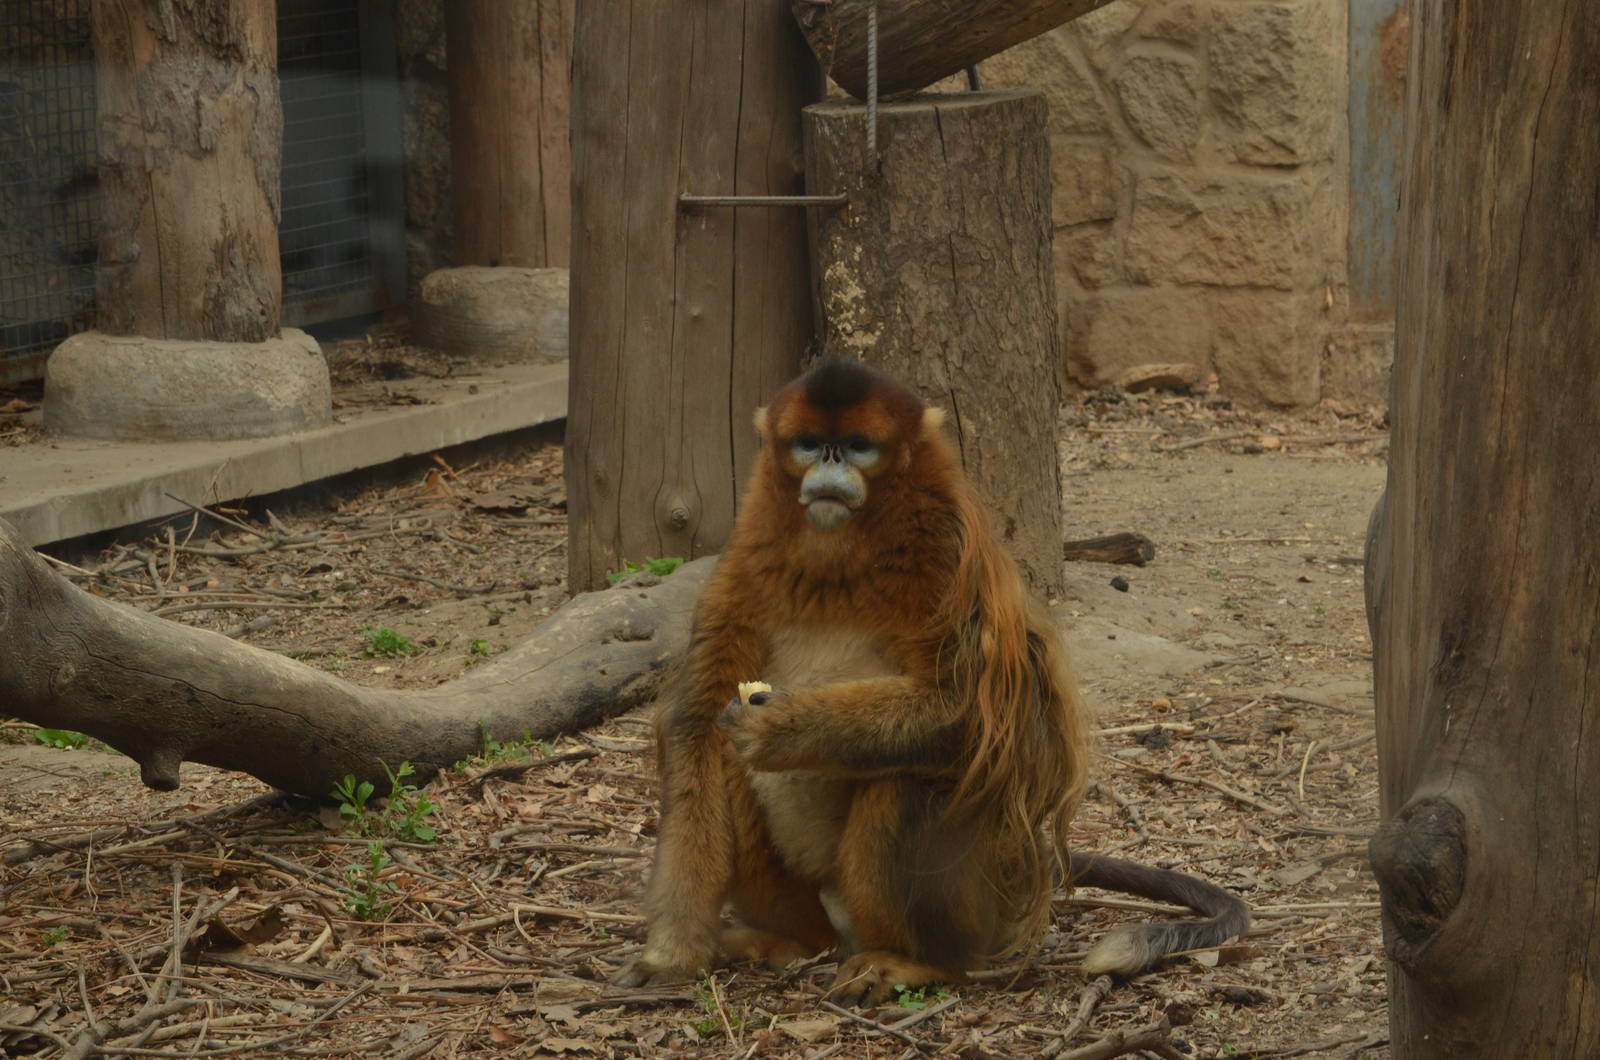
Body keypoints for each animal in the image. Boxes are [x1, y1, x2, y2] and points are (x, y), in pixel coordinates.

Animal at [613, 359, 1249, 1003]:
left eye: (859, 446)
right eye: (811, 443)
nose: (830, 464)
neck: (839, 555)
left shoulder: (950, 551)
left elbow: (980, 718)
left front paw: (784, 728)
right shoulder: (744, 559)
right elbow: (696, 720)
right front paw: (672, 952)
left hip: (981, 909)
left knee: (908, 778)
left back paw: (918, 962)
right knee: (727, 761)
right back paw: (787, 940)